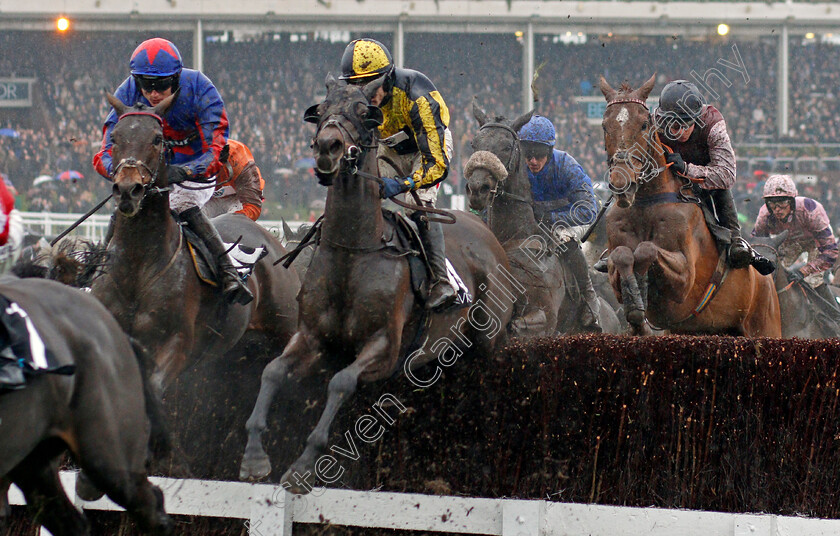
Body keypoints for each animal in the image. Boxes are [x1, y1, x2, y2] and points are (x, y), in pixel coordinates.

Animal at [94, 93, 302, 394]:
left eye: (157, 138)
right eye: (114, 137)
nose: (127, 190)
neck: (138, 264)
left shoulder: (178, 344)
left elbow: (154, 386)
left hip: (285, 327)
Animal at [236, 74, 512, 490]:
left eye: (364, 113)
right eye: (321, 109)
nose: (327, 148)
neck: (354, 251)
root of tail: (488, 234)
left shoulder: (383, 346)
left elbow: (341, 383)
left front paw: (304, 464)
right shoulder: (313, 337)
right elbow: (272, 372)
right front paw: (254, 456)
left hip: (486, 341)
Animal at [596, 75, 780, 336]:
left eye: (643, 125)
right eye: (605, 125)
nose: (622, 183)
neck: (648, 203)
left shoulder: (684, 278)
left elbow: (646, 249)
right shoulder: (614, 267)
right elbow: (622, 255)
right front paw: (636, 306)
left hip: (765, 325)